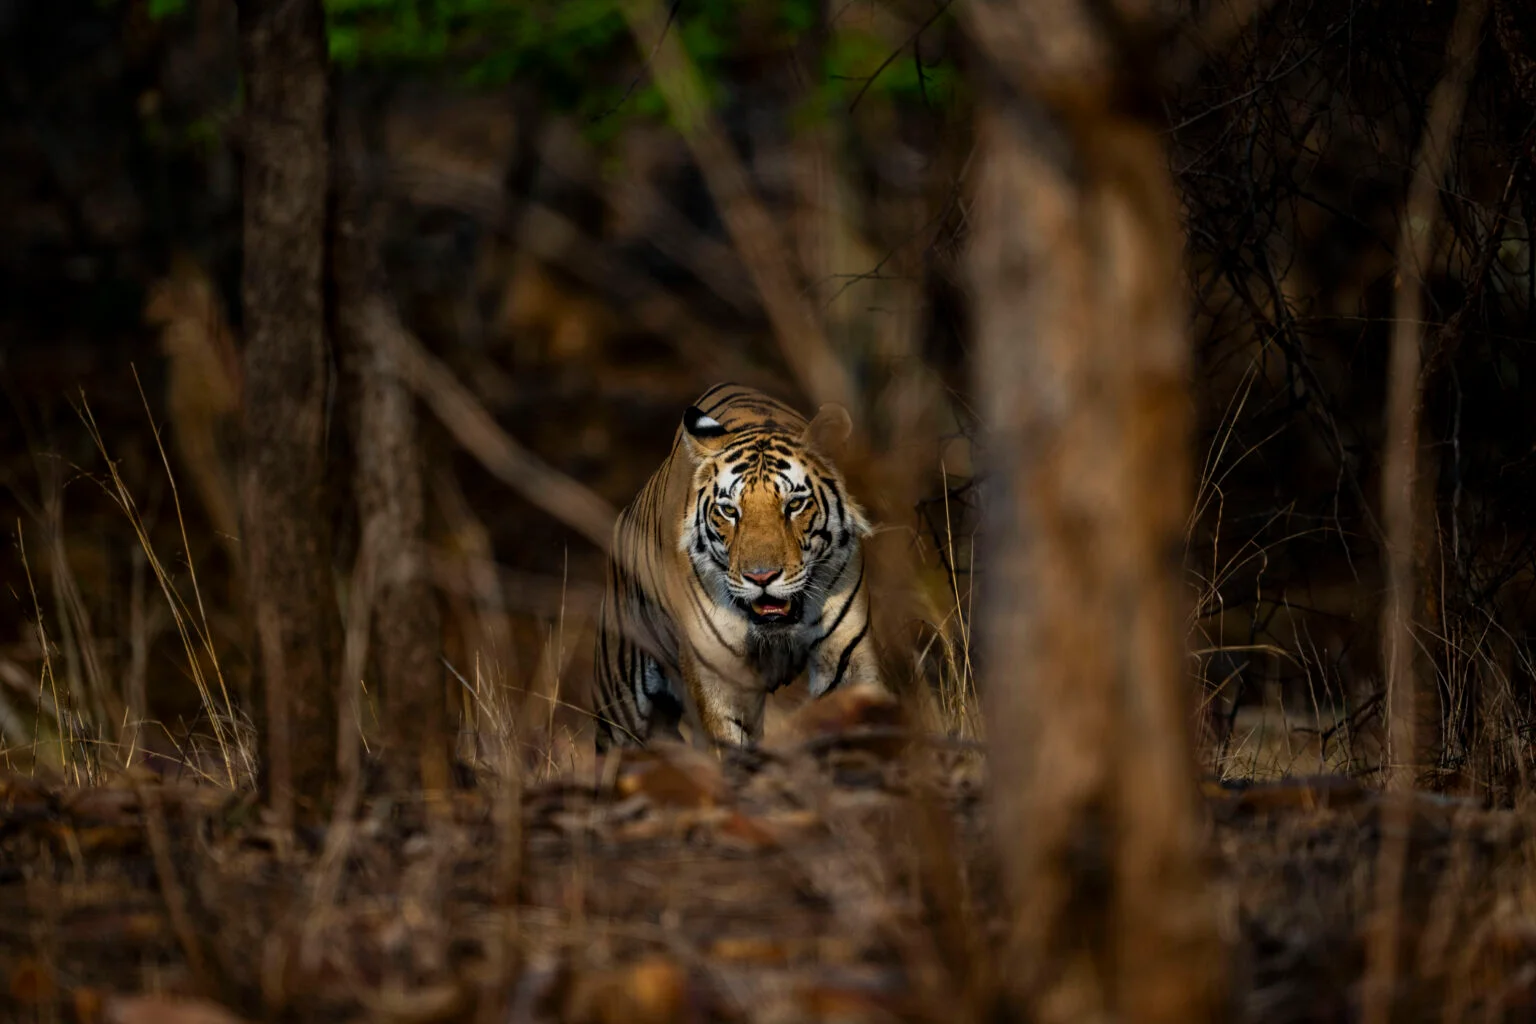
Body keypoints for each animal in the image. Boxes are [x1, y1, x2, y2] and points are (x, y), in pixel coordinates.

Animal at [592, 382, 882, 750]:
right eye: (729, 510)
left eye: (795, 504)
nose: (761, 577)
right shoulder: (718, 673)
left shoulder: (845, 654)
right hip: (621, 708)